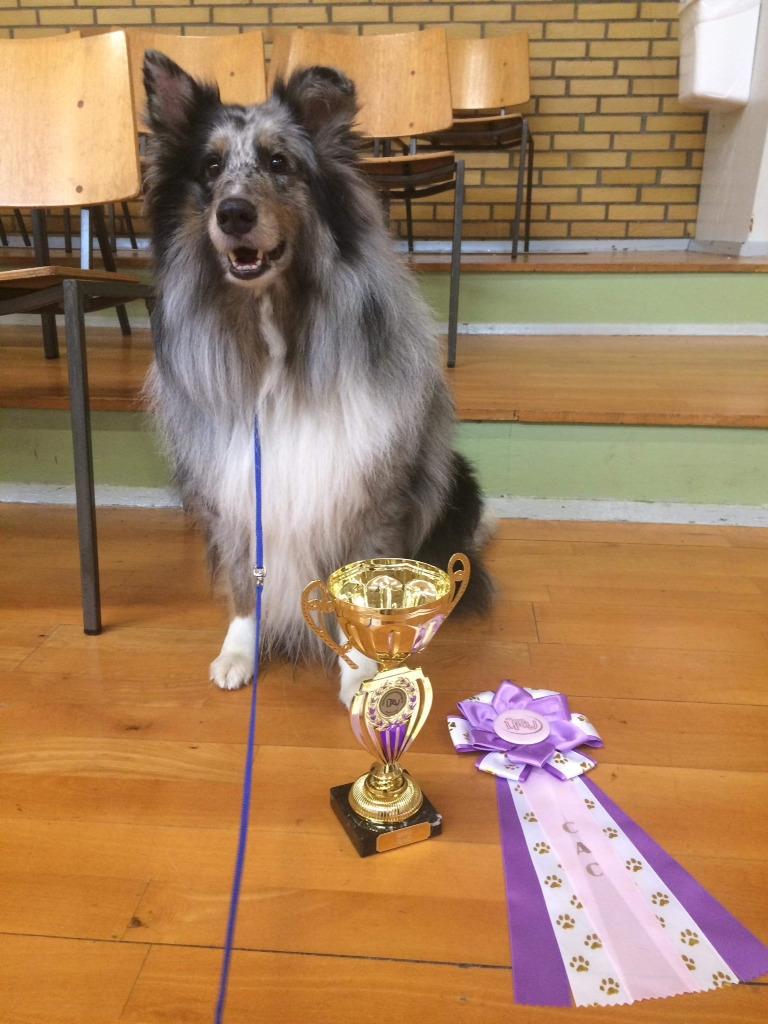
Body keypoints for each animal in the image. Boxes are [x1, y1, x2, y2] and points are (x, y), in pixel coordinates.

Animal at [143, 54, 493, 704]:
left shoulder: (371, 492)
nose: (233, 214)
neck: (274, 337)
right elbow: (243, 582)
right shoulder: (238, 493)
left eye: (280, 163)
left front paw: (362, 672)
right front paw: (240, 652)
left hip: (455, 481)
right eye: (211, 167)